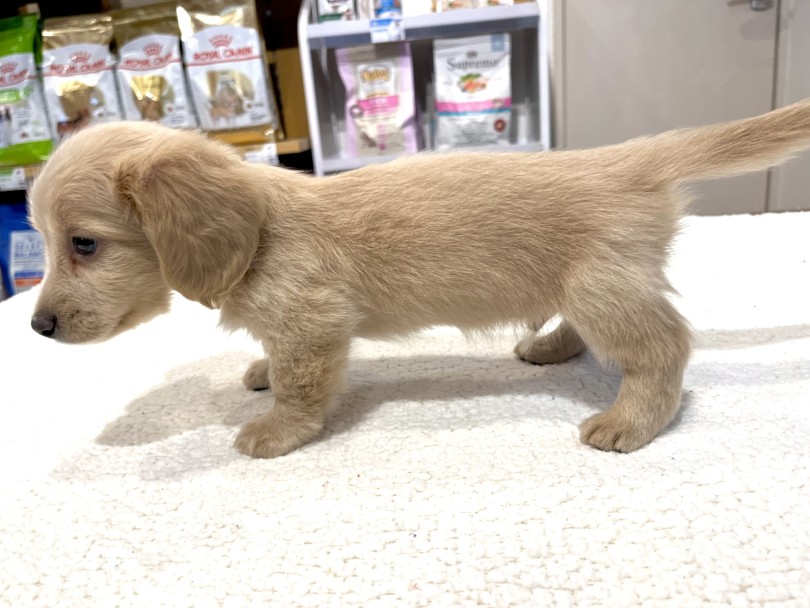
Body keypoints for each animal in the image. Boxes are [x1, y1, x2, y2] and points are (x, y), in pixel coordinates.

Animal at [28, 102, 808, 458]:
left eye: (85, 244)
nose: (37, 327)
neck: (262, 232)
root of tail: (627, 158)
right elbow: (276, 361)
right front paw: (258, 371)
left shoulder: (313, 326)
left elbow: (301, 388)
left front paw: (275, 429)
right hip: (590, 284)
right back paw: (551, 347)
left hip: (603, 288)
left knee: (665, 350)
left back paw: (631, 420)